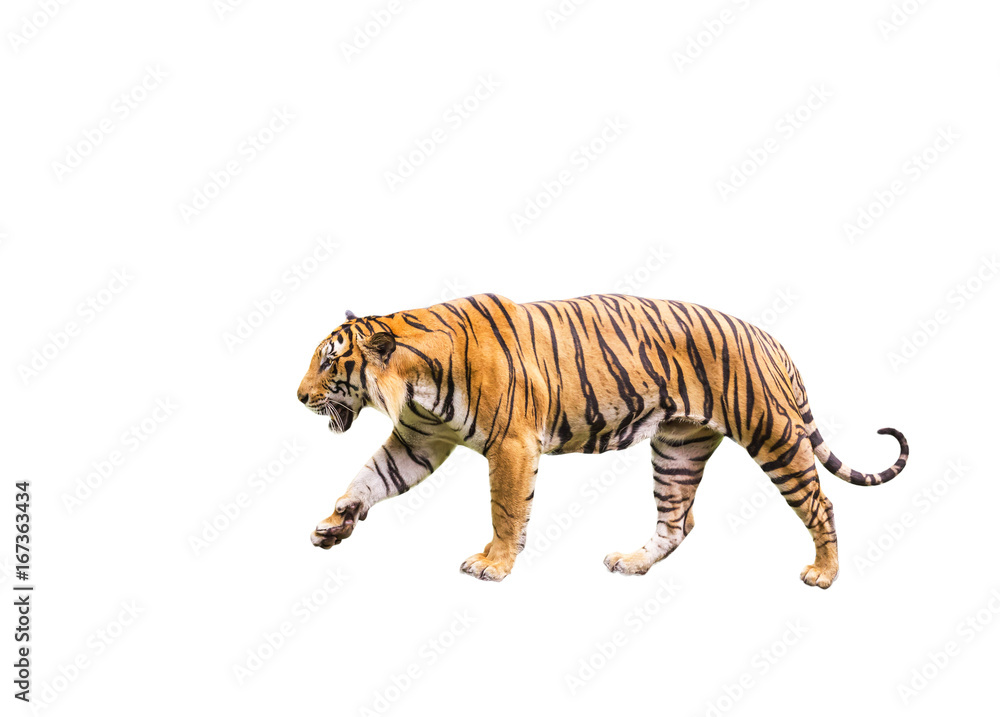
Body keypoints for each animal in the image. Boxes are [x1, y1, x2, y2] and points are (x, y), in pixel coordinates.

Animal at [296, 294, 908, 588]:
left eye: (328, 362)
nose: (299, 397)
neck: (417, 381)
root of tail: (768, 337)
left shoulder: (512, 445)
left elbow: (505, 510)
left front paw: (494, 565)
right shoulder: (420, 439)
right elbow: (370, 478)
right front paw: (335, 523)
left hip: (773, 435)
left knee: (821, 504)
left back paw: (824, 574)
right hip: (677, 450)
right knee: (678, 522)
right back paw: (633, 563)